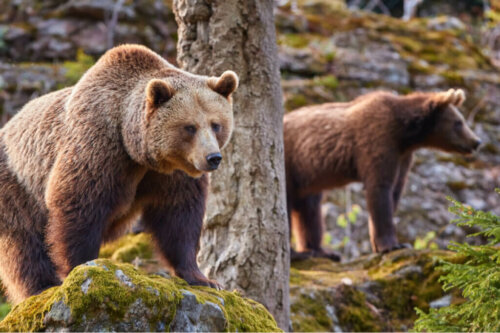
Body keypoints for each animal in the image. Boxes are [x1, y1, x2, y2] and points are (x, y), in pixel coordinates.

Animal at [0, 44, 240, 304]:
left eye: (216, 124)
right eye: (190, 127)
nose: (213, 158)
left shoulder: (172, 174)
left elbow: (179, 216)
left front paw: (204, 278)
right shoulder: (99, 149)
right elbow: (79, 206)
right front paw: (80, 269)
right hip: (17, 190)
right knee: (24, 246)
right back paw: (40, 287)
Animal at [288, 89, 482, 260]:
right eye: (458, 122)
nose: (476, 141)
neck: (405, 135)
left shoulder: (402, 156)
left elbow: (395, 191)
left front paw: (381, 244)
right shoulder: (377, 141)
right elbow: (380, 189)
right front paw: (392, 245)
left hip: (308, 180)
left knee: (310, 210)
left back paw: (321, 251)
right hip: (293, 166)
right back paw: (297, 254)